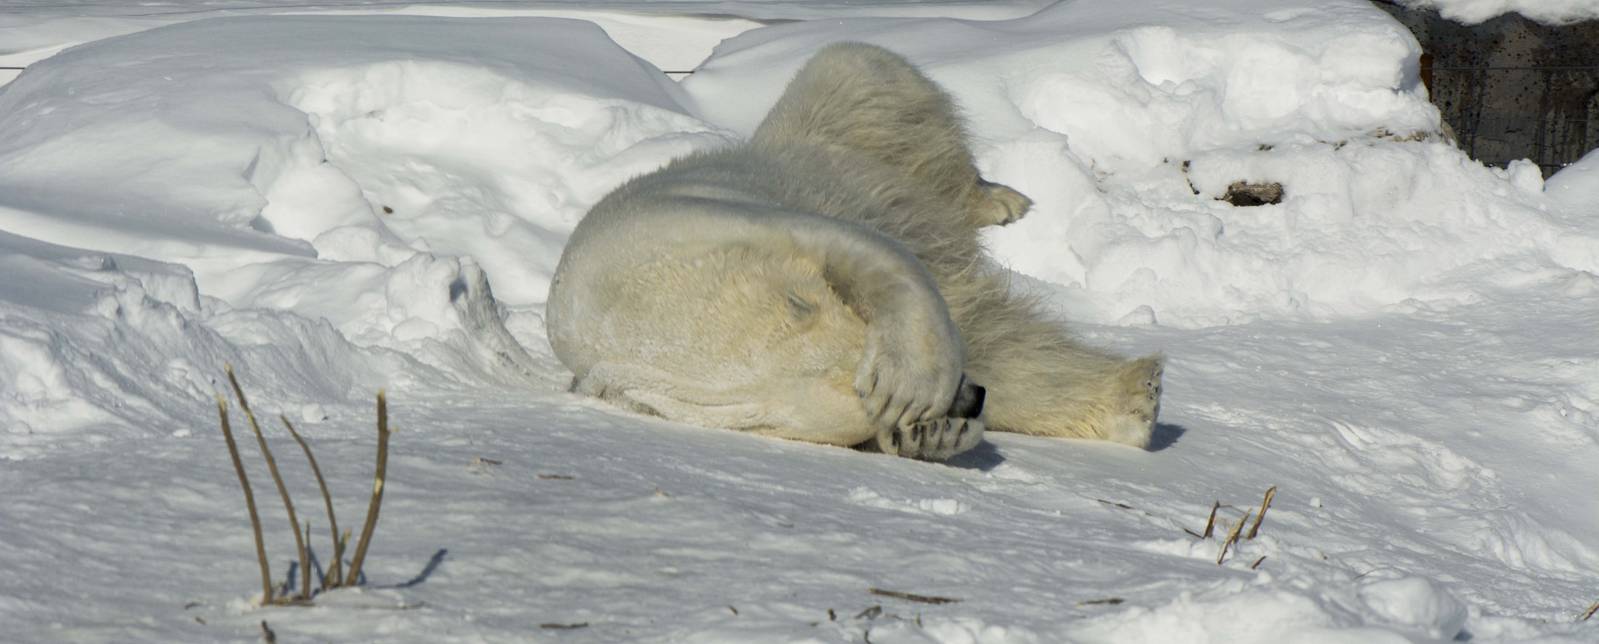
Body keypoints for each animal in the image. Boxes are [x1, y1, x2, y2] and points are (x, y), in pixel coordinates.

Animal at [545, 42, 1163, 461]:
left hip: (834, 137)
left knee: (860, 74)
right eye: (867, 413)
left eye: (872, 368)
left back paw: (1000, 200)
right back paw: (1133, 400)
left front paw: (914, 378)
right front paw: (931, 434)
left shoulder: (706, 220)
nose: (972, 397)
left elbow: (858, 249)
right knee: (1006, 344)